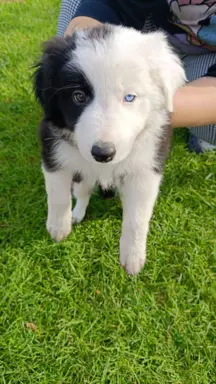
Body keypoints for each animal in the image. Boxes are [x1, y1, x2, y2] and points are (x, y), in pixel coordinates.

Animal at [34, 24, 186, 274]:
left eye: (130, 97)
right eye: (78, 96)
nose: (102, 153)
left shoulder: (147, 167)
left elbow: (137, 217)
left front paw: (133, 256)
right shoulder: (53, 147)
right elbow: (57, 193)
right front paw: (58, 226)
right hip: (82, 177)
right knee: (82, 192)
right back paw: (76, 215)